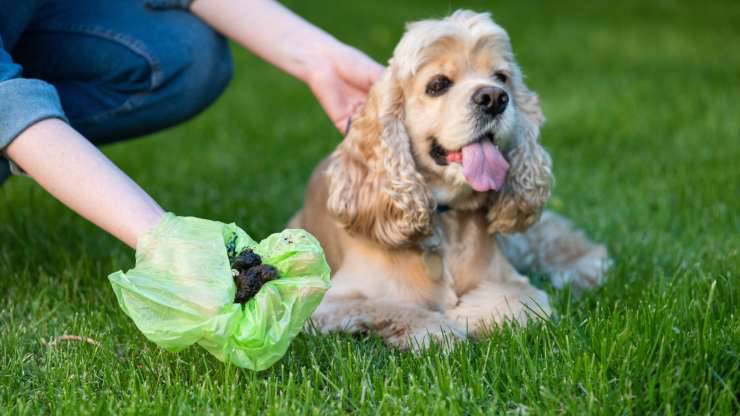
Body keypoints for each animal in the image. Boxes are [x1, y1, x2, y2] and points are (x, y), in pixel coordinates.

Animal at [290, 9, 608, 350]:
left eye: (502, 77)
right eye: (438, 84)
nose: (495, 98)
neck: (447, 219)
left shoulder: (513, 280)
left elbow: (517, 299)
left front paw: (469, 313)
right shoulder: (331, 300)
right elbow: (396, 308)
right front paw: (442, 329)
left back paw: (583, 268)